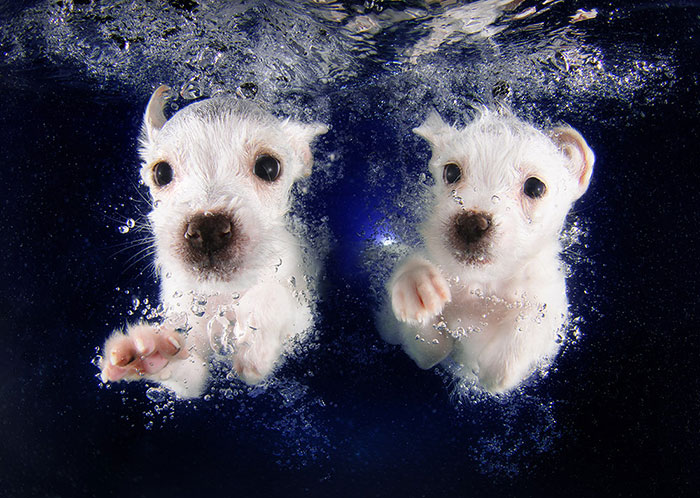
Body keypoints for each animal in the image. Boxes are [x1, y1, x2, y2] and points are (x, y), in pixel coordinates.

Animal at [99, 84, 328, 396]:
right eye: (161, 173)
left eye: (269, 168)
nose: (207, 228)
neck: (224, 295)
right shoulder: (191, 359)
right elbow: (190, 373)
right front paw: (150, 353)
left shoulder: (303, 323)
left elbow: (272, 295)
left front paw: (254, 340)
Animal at [386, 109, 592, 392]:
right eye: (451, 172)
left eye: (535, 188)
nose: (471, 223)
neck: (482, 286)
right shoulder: (424, 354)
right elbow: (430, 346)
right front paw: (416, 283)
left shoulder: (549, 316)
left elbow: (517, 345)